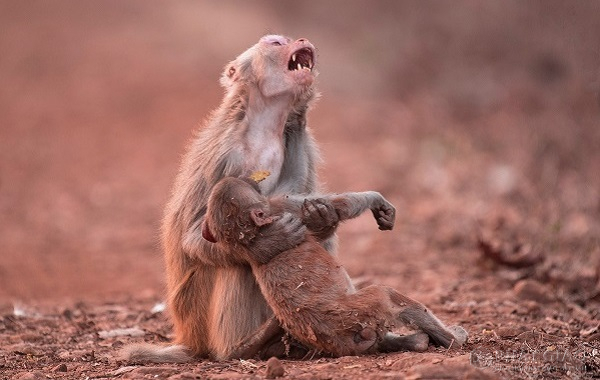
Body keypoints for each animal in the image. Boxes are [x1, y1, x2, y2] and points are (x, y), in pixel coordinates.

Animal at [203, 177, 468, 358]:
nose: (250, 178)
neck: (251, 237)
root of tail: (339, 338)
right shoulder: (280, 208)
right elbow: (342, 205)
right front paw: (376, 199)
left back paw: (417, 342)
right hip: (360, 311)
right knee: (386, 295)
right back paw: (453, 338)